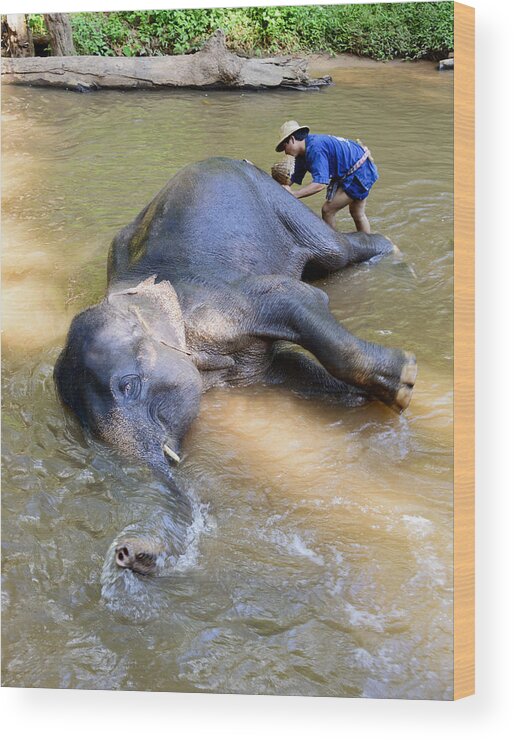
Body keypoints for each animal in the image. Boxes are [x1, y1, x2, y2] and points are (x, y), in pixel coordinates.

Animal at [55, 158, 416, 580]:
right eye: (83, 423)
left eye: (128, 386)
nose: (126, 553)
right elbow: (284, 367)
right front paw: (364, 398)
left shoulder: (227, 300)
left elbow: (301, 298)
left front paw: (405, 383)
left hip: (279, 206)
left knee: (337, 252)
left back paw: (394, 257)